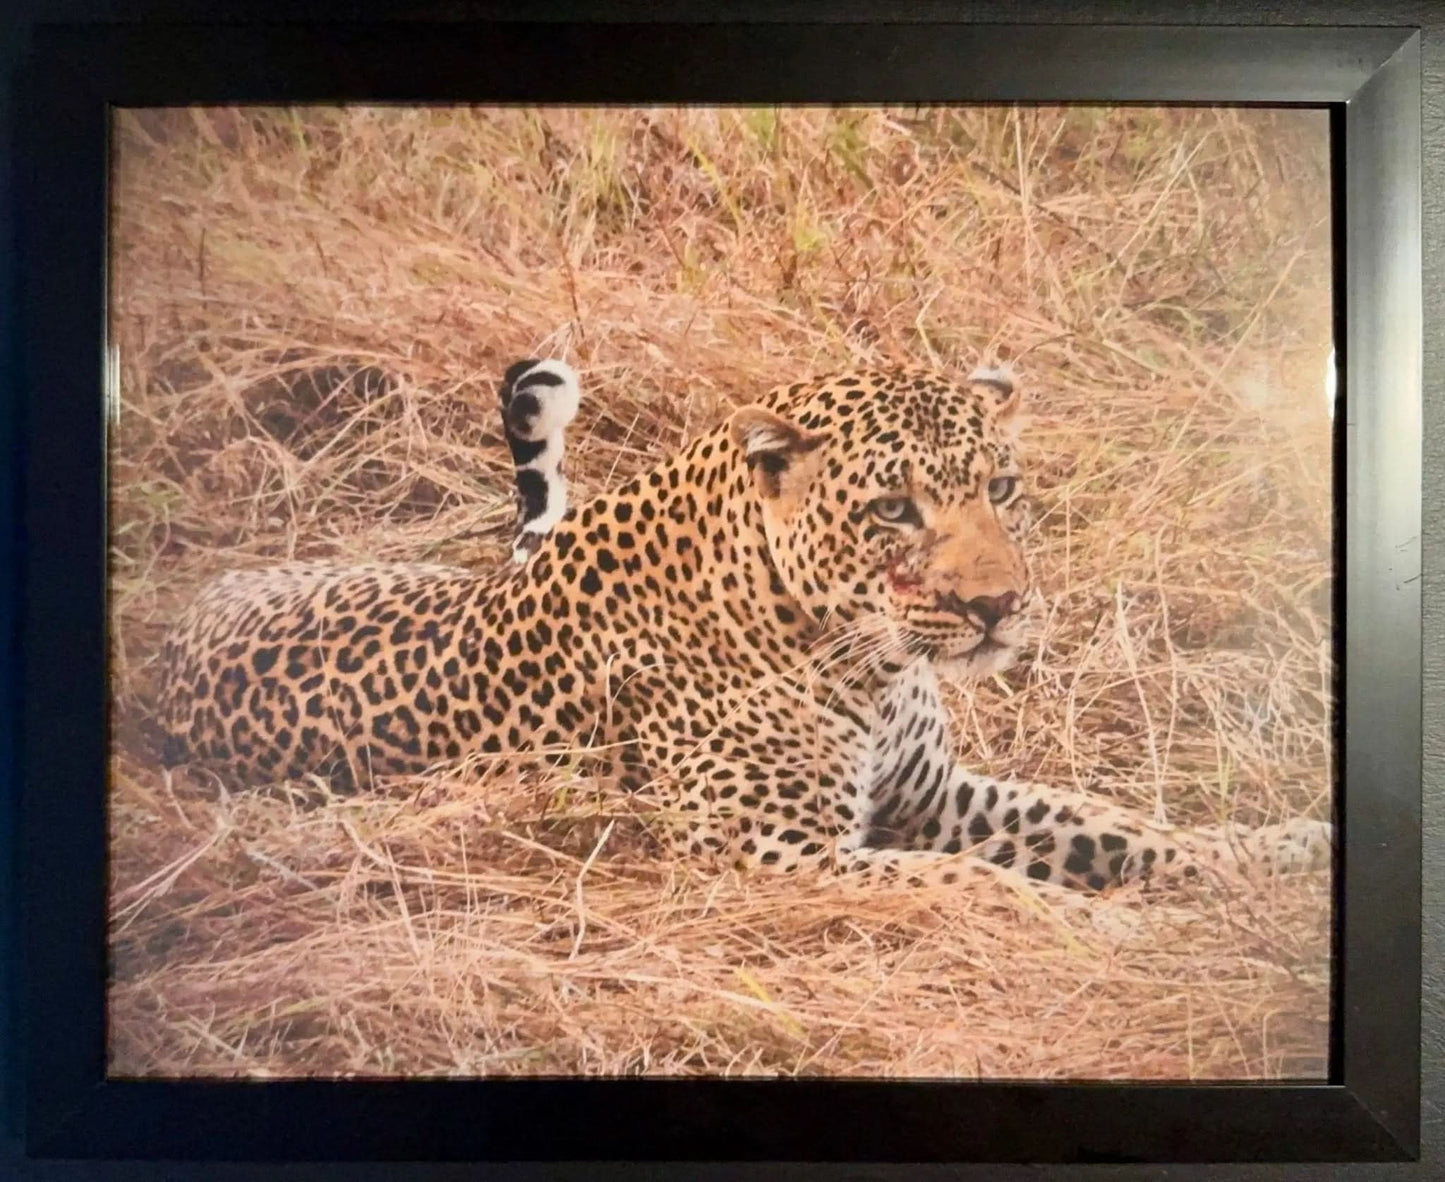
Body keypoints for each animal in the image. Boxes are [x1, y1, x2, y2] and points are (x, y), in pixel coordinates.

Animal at [156, 363, 1331, 891]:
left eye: (1000, 488)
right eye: (892, 510)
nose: (996, 605)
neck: (868, 666)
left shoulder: (935, 795)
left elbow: (1118, 829)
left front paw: (1272, 856)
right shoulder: (781, 853)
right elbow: (984, 882)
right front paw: (1104, 926)